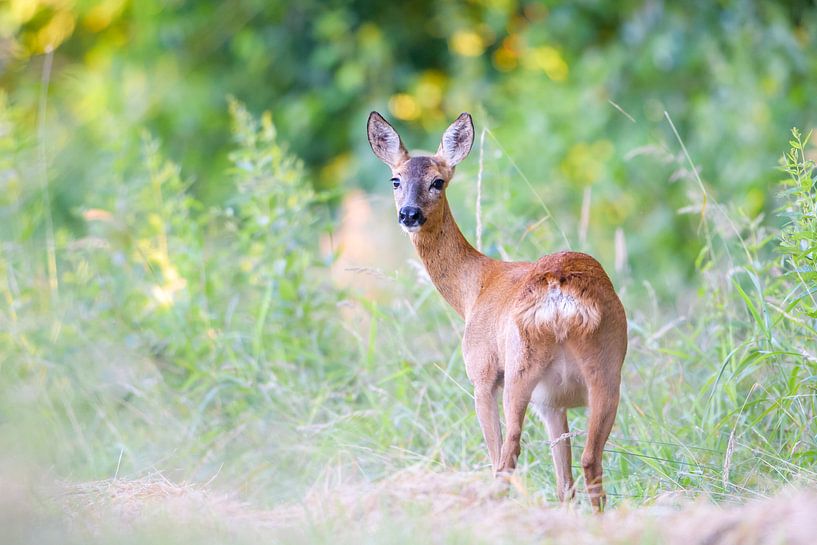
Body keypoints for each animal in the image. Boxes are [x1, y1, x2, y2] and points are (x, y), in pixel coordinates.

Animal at [366, 110, 628, 510]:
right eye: (395, 179)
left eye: (438, 181)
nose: (409, 214)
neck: (474, 287)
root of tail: (559, 292)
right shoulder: (552, 401)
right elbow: (563, 480)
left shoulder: (482, 372)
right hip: (606, 371)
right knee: (587, 463)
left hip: (519, 370)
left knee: (507, 460)